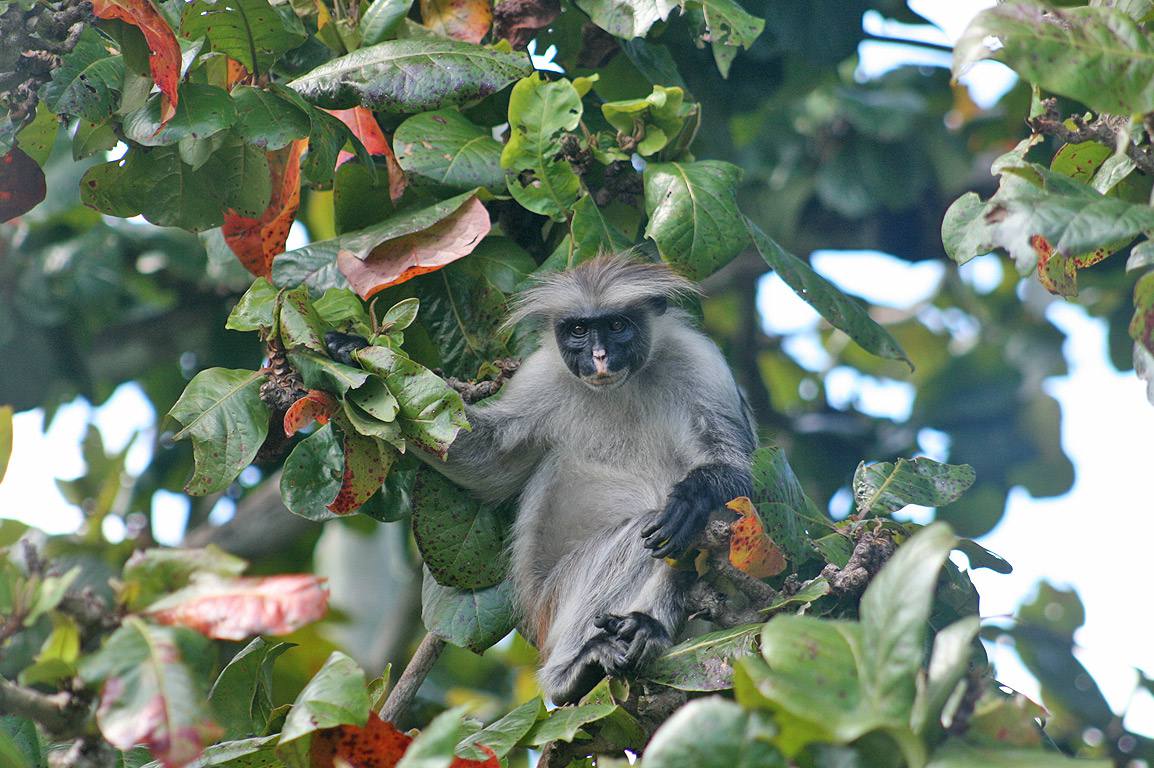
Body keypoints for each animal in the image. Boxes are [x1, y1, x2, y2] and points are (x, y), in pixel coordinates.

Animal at [422, 253, 757, 701]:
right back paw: (572, 672)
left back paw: (647, 628)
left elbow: (738, 471)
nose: (599, 356)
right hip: (556, 595)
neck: (619, 388)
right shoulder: (540, 374)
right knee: (645, 535)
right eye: (579, 330)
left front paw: (691, 498)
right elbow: (488, 460)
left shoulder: (701, 362)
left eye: (616, 326)